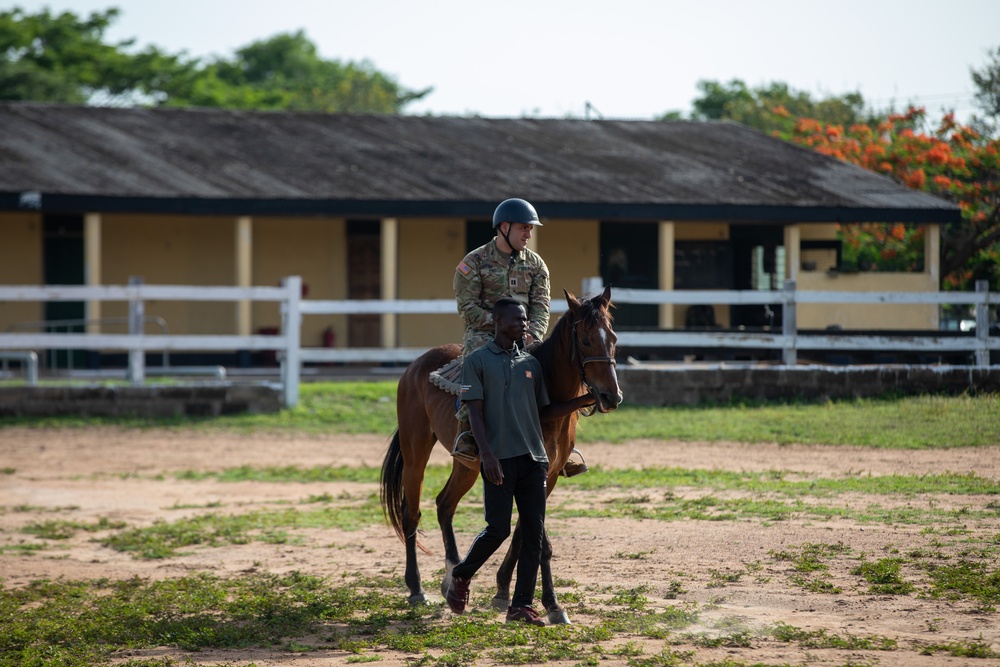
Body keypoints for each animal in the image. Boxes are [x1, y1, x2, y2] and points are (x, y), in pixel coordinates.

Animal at [378, 284, 620, 624]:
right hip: (416, 453)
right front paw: (552, 604)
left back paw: (451, 578)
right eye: (585, 340)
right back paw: (417, 589)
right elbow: (539, 540)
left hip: (466, 466)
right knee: (411, 513)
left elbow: (526, 533)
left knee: (444, 504)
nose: (611, 396)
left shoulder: (547, 476)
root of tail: (415, 367)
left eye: (613, 338)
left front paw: (504, 591)